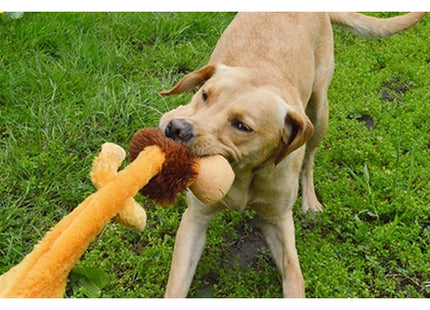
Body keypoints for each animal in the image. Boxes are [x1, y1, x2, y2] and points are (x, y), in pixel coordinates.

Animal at [157, 12, 424, 298]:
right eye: (205, 95)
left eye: (242, 126)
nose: (176, 129)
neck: (243, 173)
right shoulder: (195, 219)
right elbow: (175, 286)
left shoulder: (278, 221)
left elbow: (295, 277)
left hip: (319, 114)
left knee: (309, 159)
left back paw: (311, 201)